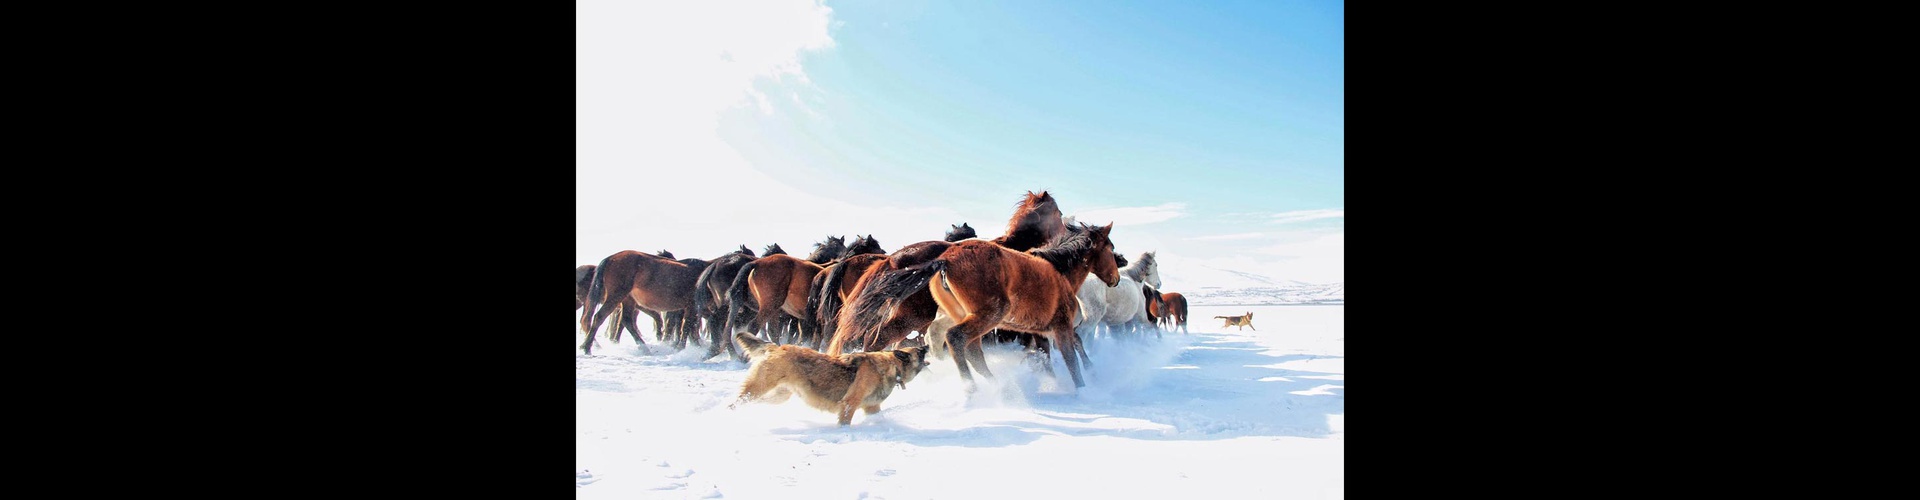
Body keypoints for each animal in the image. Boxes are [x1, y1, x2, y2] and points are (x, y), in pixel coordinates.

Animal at [725, 332, 929, 425]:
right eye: (919, 351)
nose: (927, 346)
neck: (892, 366)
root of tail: (777, 347)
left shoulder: (872, 408)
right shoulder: (849, 404)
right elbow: (845, 421)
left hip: (777, 396)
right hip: (758, 389)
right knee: (736, 402)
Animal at [848, 222, 1121, 390]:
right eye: (1111, 249)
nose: (1116, 279)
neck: (1058, 269)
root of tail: (943, 261)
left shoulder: (1041, 331)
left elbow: (1050, 356)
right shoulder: (1060, 326)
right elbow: (1072, 357)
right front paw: (1085, 385)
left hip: (964, 316)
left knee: (963, 347)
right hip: (981, 315)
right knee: (952, 339)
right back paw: (974, 389)